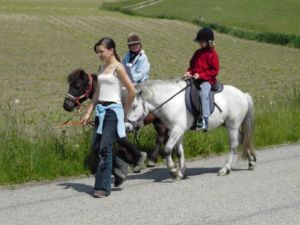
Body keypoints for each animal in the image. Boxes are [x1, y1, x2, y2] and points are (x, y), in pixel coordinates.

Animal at [126, 80, 255, 178]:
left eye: (134, 106)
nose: (127, 127)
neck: (170, 103)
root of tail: (243, 95)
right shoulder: (177, 130)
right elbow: (179, 152)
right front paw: (181, 172)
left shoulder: (177, 129)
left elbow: (167, 149)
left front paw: (173, 171)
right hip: (229, 125)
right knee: (242, 139)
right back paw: (251, 162)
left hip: (233, 125)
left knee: (233, 145)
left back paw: (225, 169)